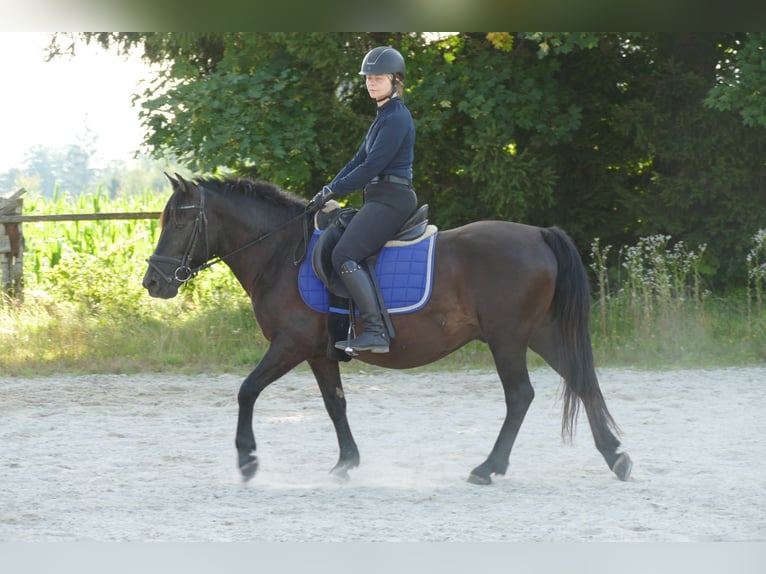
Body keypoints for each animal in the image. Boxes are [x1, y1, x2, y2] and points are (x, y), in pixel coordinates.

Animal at [141, 176, 632, 486]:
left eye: (180, 222)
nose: (153, 283)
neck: (282, 254)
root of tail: (539, 234)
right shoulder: (318, 352)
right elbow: (335, 405)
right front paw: (346, 464)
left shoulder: (290, 344)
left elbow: (247, 390)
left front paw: (247, 460)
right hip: (538, 334)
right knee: (580, 381)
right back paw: (617, 457)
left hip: (507, 338)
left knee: (520, 396)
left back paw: (487, 468)